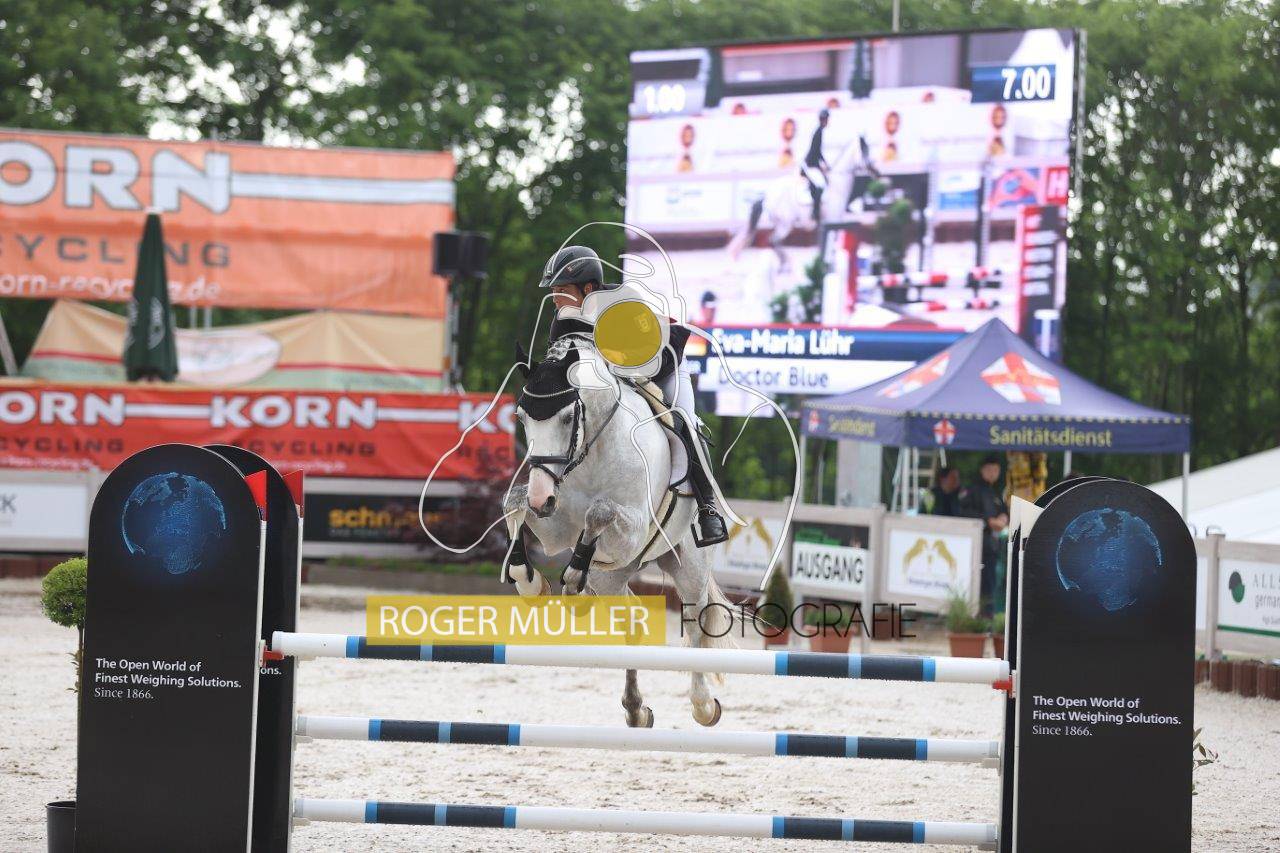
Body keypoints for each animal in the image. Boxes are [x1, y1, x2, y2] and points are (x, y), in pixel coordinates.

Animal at [502, 339, 734, 729]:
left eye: (568, 418)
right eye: (522, 417)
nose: (541, 497)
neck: (593, 451)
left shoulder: (633, 528)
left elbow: (599, 511)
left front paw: (571, 578)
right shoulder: (555, 526)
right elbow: (513, 503)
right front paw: (530, 581)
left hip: (690, 566)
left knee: (695, 624)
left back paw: (703, 706)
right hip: (613, 576)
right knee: (633, 620)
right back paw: (636, 708)